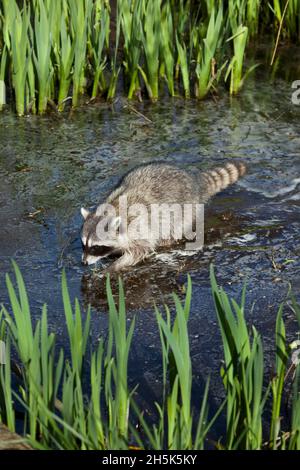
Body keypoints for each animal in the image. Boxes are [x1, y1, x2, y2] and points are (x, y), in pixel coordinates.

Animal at [80, 162, 246, 270]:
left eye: (96, 248)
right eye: (84, 245)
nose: (84, 263)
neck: (113, 210)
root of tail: (195, 181)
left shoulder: (139, 229)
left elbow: (139, 251)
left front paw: (113, 268)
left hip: (186, 208)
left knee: (174, 227)